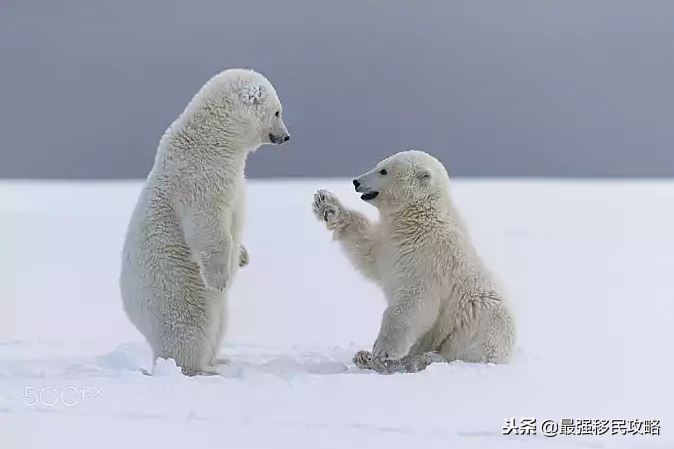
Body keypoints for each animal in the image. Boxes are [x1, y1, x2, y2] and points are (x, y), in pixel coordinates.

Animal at [119, 67, 288, 374]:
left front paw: (243, 256)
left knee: (219, 325)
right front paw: (220, 278)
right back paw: (199, 369)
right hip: (175, 296)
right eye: (277, 112)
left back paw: (219, 359)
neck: (212, 139)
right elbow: (208, 226)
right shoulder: (201, 177)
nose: (286, 136)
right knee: (190, 331)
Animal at [312, 149, 516, 372]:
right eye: (379, 165)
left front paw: (383, 350)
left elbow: (414, 303)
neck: (419, 219)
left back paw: (423, 358)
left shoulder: (429, 258)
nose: (356, 181)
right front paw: (326, 204)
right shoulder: (389, 242)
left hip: (479, 323)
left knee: (463, 348)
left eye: (384, 171)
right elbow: (366, 249)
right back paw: (366, 358)